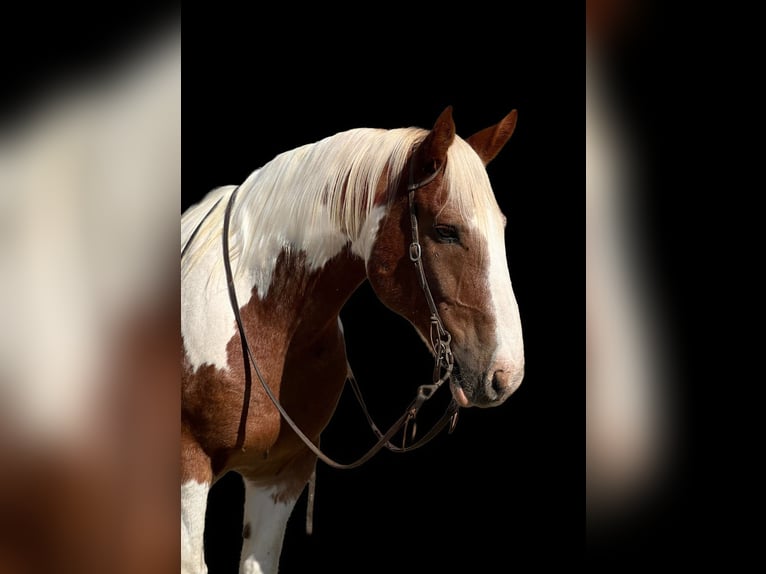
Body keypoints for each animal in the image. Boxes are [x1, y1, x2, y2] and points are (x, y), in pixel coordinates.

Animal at [181, 106, 528, 572]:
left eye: (501, 228)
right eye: (446, 231)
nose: (505, 373)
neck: (264, 322)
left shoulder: (280, 477)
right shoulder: (188, 472)